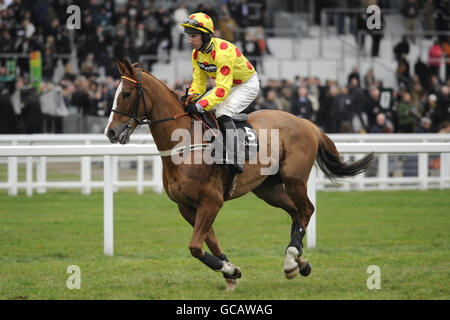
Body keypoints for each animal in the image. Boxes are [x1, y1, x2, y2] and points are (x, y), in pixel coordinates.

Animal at [104, 57, 372, 290]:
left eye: (126, 94)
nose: (111, 132)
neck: (184, 144)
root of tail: (306, 123)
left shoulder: (211, 201)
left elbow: (195, 246)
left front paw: (230, 271)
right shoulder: (187, 206)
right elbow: (209, 243)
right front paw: (230, 272)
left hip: (294, 179)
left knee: (306, 209)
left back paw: (292, 259)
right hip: (269, 189)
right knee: (296, 213)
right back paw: (300, 262)